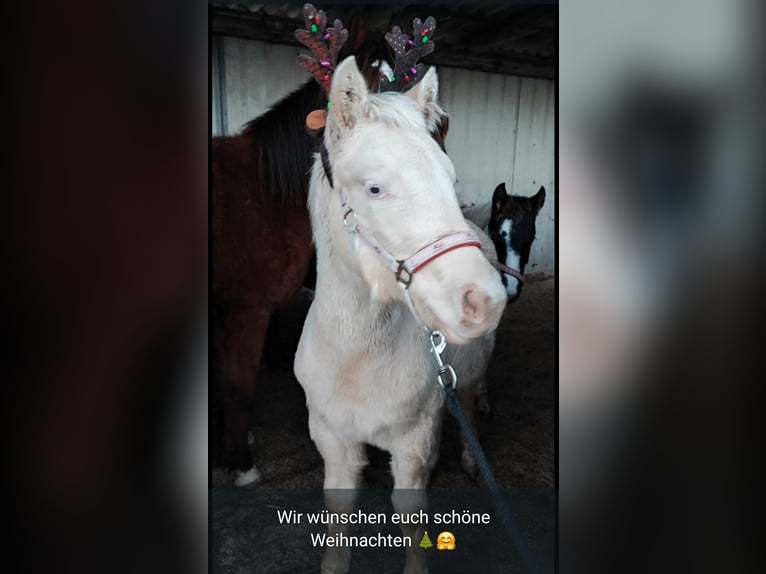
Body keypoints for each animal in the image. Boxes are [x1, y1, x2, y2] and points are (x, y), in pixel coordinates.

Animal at [294, 55, 506, 574]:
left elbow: (411, 514)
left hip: (467, 378)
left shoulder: (414, 439)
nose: (485, 300)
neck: (355, 359)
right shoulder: (330, 436)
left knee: (469, 397)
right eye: (375, 188)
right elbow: (339, 508)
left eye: (450, 179)